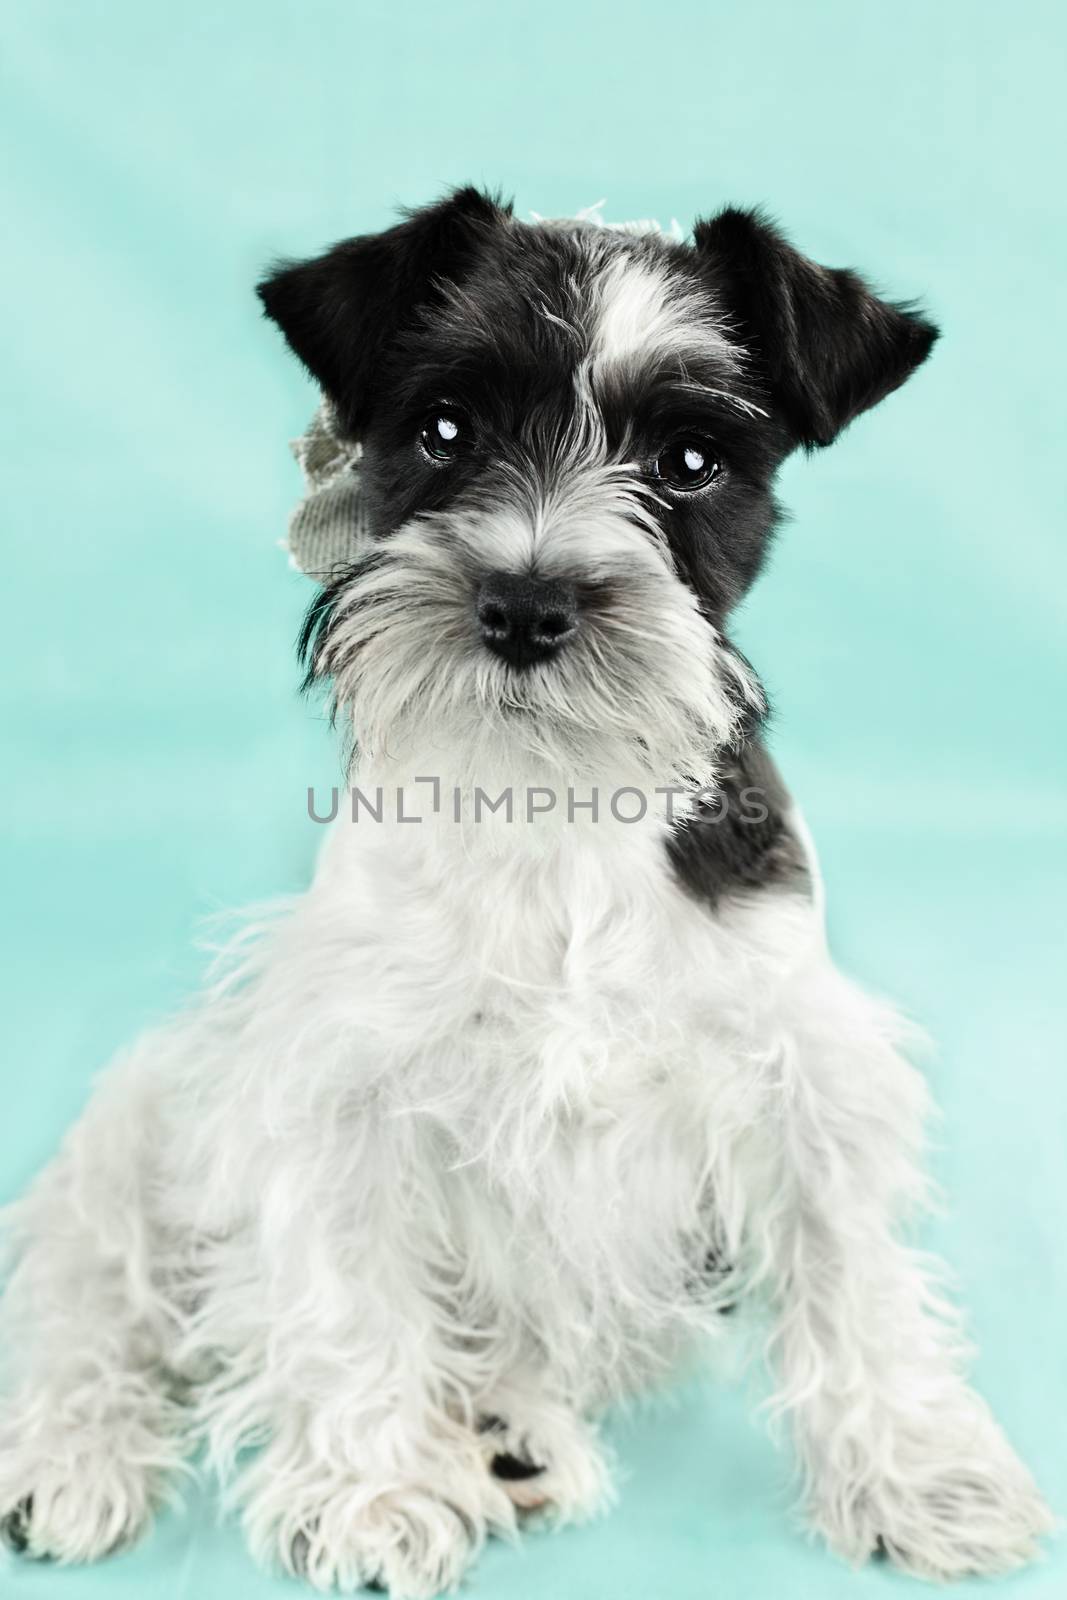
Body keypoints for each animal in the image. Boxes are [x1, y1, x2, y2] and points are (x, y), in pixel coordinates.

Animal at [0, 190, 1049, 1600]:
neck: (550, 800)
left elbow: (852, 1273)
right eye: (445, 430)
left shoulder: (797, 1066)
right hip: (146, 1109)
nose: (525, 599)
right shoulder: (337, 1085)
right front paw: (376, 1489)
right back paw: (72, 1448)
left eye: (690, 460)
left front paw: (918, 1471)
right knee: (89, 1289)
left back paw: (509, 1433)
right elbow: (346, 1294)